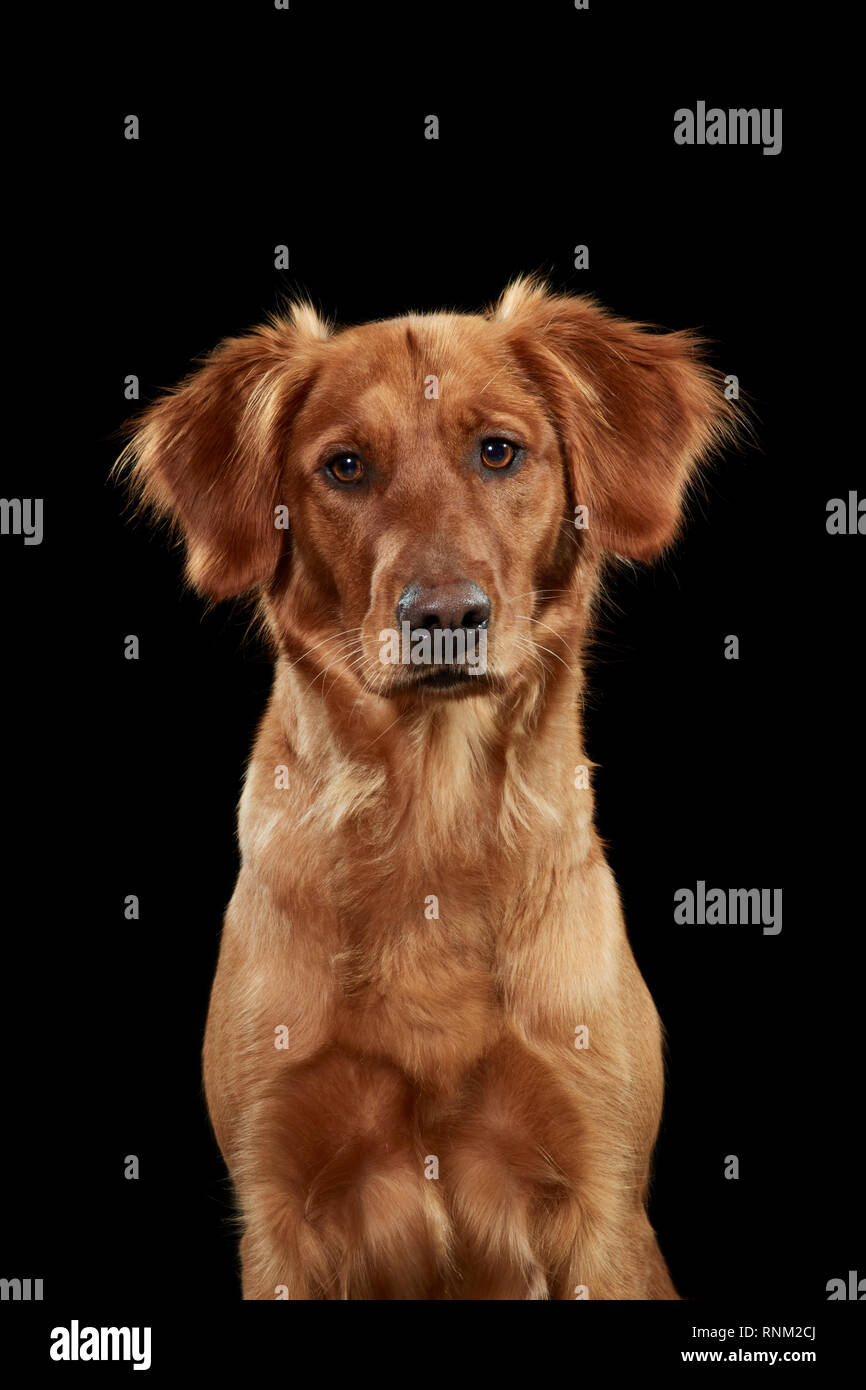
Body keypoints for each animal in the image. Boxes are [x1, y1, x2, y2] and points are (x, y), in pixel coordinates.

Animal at [120, 276, 733, 1295]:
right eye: (346, 468)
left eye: (499, 452)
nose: (444, 615)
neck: (430, 822)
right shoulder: (278, 1209)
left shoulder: (602, 1201)